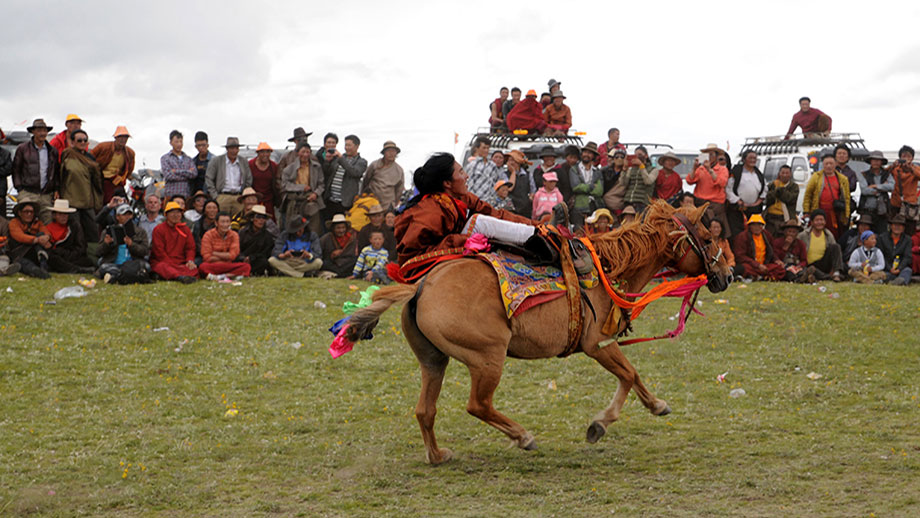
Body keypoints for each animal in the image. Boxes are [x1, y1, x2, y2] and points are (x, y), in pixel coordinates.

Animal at [345, 201, 732, 464]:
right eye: (708, 237)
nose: (727, 275)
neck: (608, 267)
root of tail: (420, 287)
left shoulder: (601, 345)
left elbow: (631, 377)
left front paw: (647, 408)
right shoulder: (597, 344)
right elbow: (629, 374)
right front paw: (604, 423)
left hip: (433, 360)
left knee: (425, 410)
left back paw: (438, 456)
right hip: (487, 358)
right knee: (478, 405)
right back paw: (523, 436)